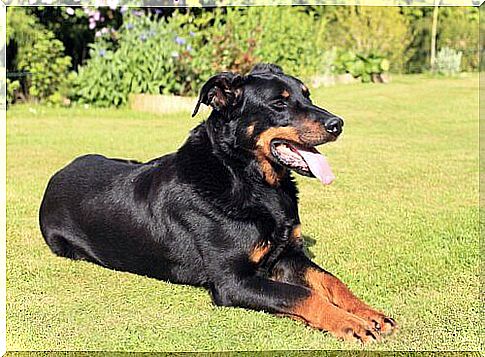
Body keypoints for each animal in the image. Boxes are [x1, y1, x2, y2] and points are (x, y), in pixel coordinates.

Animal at [39, 62, 396, 340]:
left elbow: (332, 282)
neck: (245, 177)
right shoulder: (233, 281)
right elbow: (301, 294)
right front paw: (350, 324)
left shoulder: (288, 255)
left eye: (307, 95)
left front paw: (370, 313)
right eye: (279, 104)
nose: (338, 124)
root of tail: (57, 174)